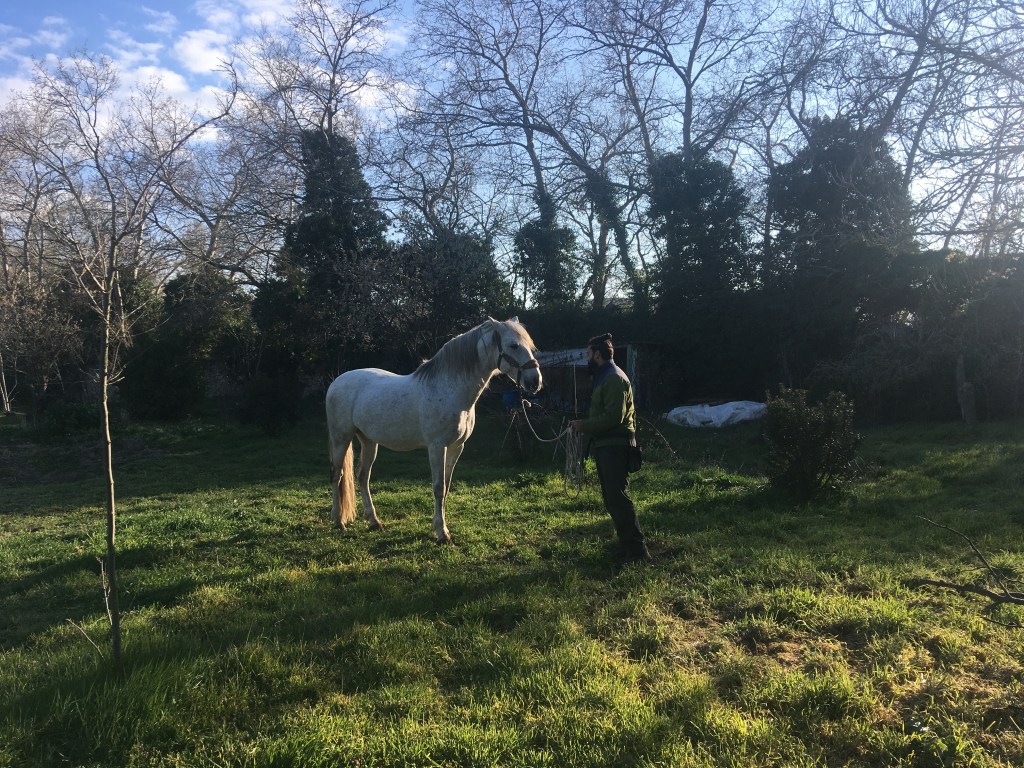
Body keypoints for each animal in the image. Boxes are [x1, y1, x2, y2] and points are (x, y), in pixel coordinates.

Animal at [325, 317, 543, 544]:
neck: (449, 388)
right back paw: (338, 521)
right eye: (513, 345)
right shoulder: (437, 447)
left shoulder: (457, 447)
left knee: (362, 476)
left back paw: (374, 521)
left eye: (531, 346)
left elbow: (446, 487)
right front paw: (441, 533)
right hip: (341, 439)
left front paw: (442, 527)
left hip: (369, 441)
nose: (535, 382)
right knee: (337, 475)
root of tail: (336, 382)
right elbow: (438, 487)